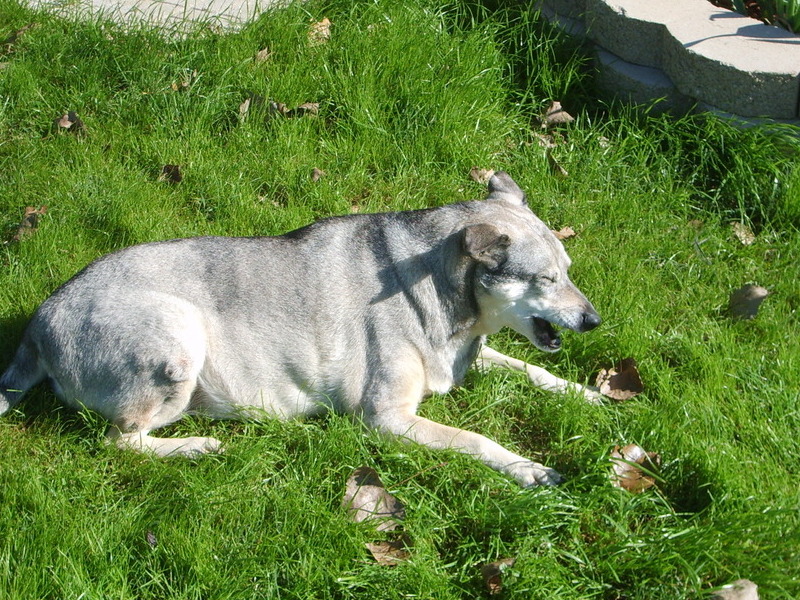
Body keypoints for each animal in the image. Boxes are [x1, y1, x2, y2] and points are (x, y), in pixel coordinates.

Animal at [0, 171, 600, 486]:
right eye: (546, 279)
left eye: (570, 271)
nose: (593, 320)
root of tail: (38, 324)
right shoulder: (386, 418)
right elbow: (475, 440)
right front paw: (527, 468)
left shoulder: (468, 357)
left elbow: (526, 366)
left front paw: (587, 393)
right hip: (180, 339)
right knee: (118, 442)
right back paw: (195, 447)